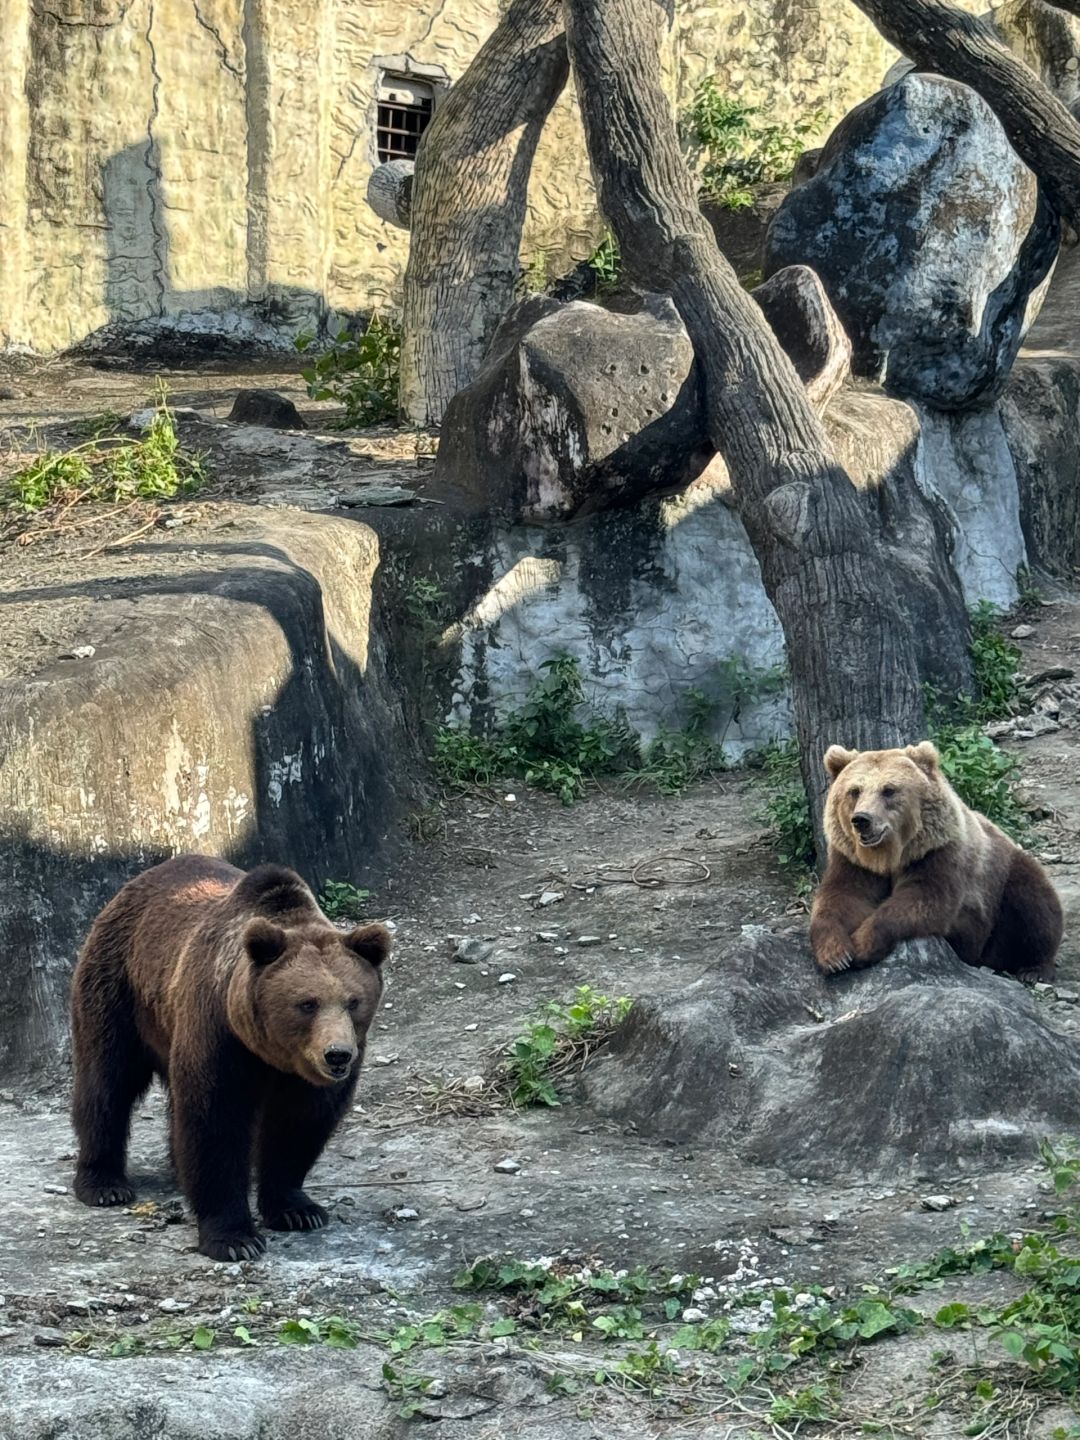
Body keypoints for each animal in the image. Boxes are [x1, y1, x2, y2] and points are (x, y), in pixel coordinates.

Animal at [68, 852, 388, 1261]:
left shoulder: (307, 1078)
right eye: (307, 1003)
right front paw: (235, 1239)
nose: (337, 1056)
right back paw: (103, 1183)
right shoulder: (219, 1033)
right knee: (107, 1082)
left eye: (354, 1001)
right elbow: (215, 1121)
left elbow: (300, 1123)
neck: (273, 1054)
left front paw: (298, 1210)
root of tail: (134, 884)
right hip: (118, 990)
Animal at [812, 743, 1065, 979]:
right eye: (855, 790)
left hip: (1005, 876)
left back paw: (1034, 969)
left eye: (889, 790)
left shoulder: (937, 852)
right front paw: (836, 956)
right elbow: (842, 898)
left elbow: (924, 900)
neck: (888, 856)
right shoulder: (853, 861)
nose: (862, 819)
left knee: (1034, 906)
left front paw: (863, 944)